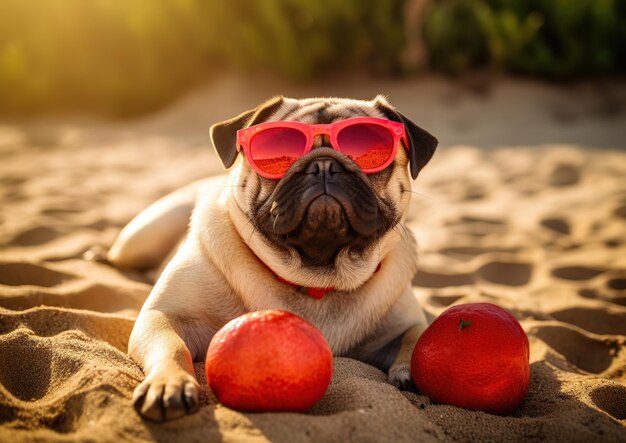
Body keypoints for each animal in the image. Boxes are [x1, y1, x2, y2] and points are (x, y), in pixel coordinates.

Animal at [107, 95, 436, 422]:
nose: (324, 165)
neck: (316, 279)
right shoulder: (163, 316)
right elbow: (173, 347)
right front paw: (168, 384)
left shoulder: (403, 324)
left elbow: (418, 335)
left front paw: (410, 372)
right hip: (141, 237)